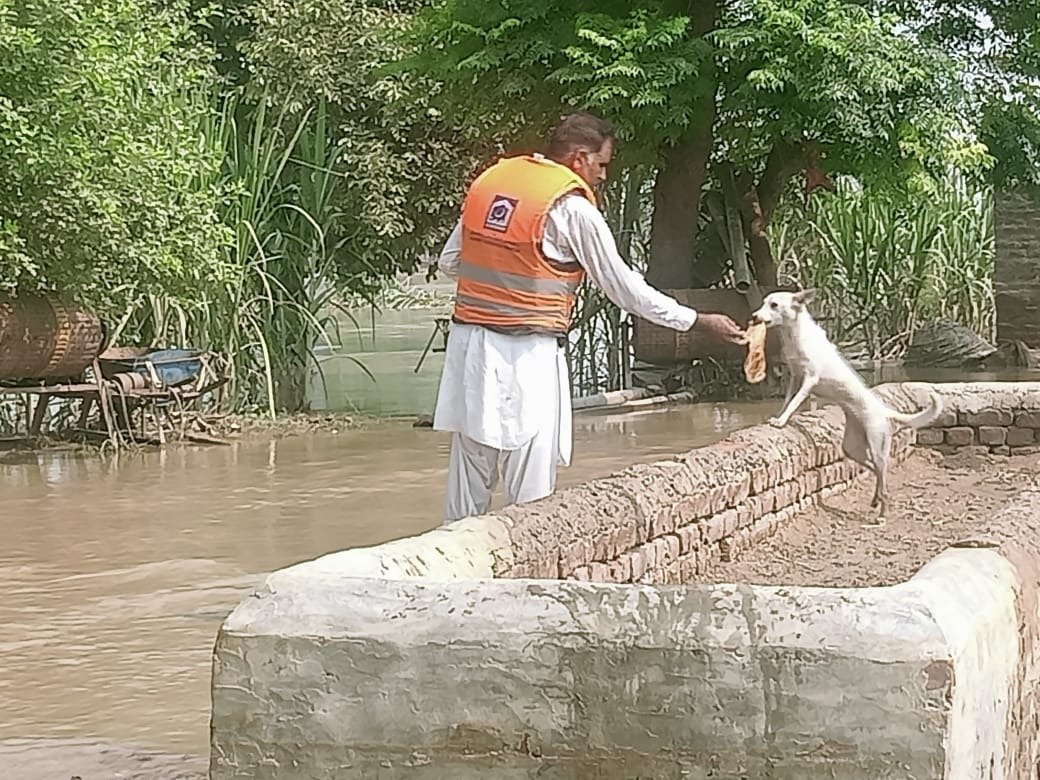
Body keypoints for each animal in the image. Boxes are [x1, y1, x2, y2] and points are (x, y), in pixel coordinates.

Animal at [748, 291, 944, 522]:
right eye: (764, 303)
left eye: (774, 305)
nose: (754, 317)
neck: (794, 333)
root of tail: (883, 410)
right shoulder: (794, 377)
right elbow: (787, 401)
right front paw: (778, 417)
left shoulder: (809, 380)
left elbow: (795, 402)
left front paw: (781, 421)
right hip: (852, 448)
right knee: (875, 472)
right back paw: (875, 499)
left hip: (878, 449)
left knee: (883, 477)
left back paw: (882, 514)